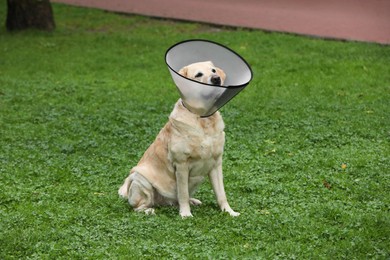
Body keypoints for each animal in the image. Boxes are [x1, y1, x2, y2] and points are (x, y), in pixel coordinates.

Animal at [119, 60, 239, 217]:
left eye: (213, 70)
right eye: (198, 74)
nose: (216, 78)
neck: (203, 119)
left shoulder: (216, 163)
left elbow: (221, 194)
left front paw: (229, 212)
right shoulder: (181, 164)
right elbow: (183, 194)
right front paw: (186, 214)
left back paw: (193, 201)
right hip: (140, 178)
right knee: (138, 207)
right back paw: (149, 210)